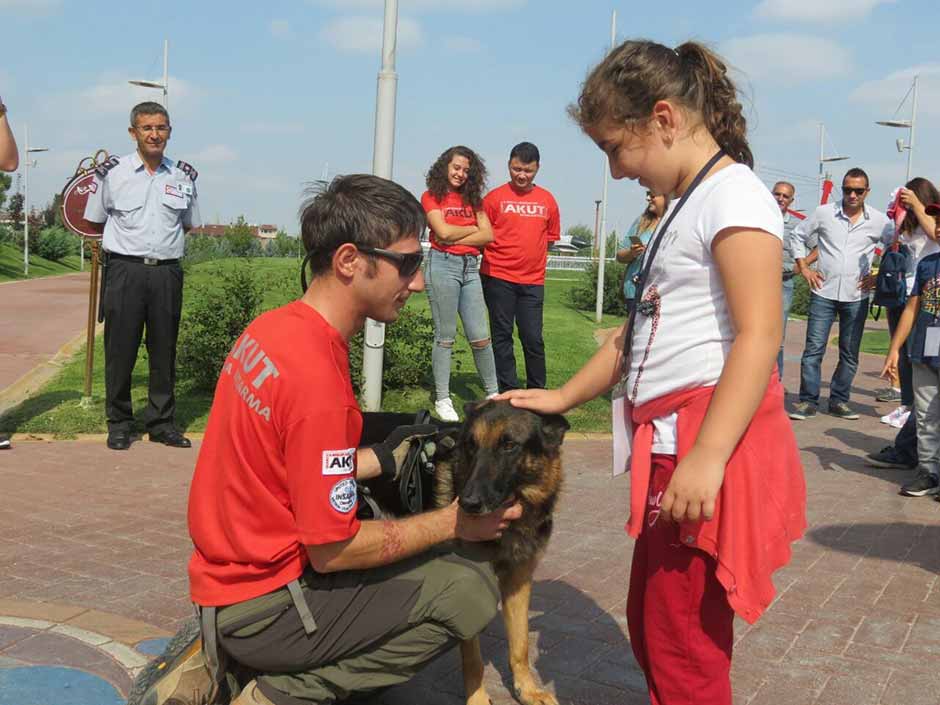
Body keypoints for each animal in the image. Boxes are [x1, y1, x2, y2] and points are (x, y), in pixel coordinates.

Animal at [432, 402, 564, 704]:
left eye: (509, 445)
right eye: (471, 445)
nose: (467, 504)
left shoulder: (518, 581)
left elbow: (520, 645)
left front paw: (527, 690)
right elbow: (473, 659)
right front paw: (478, 699)